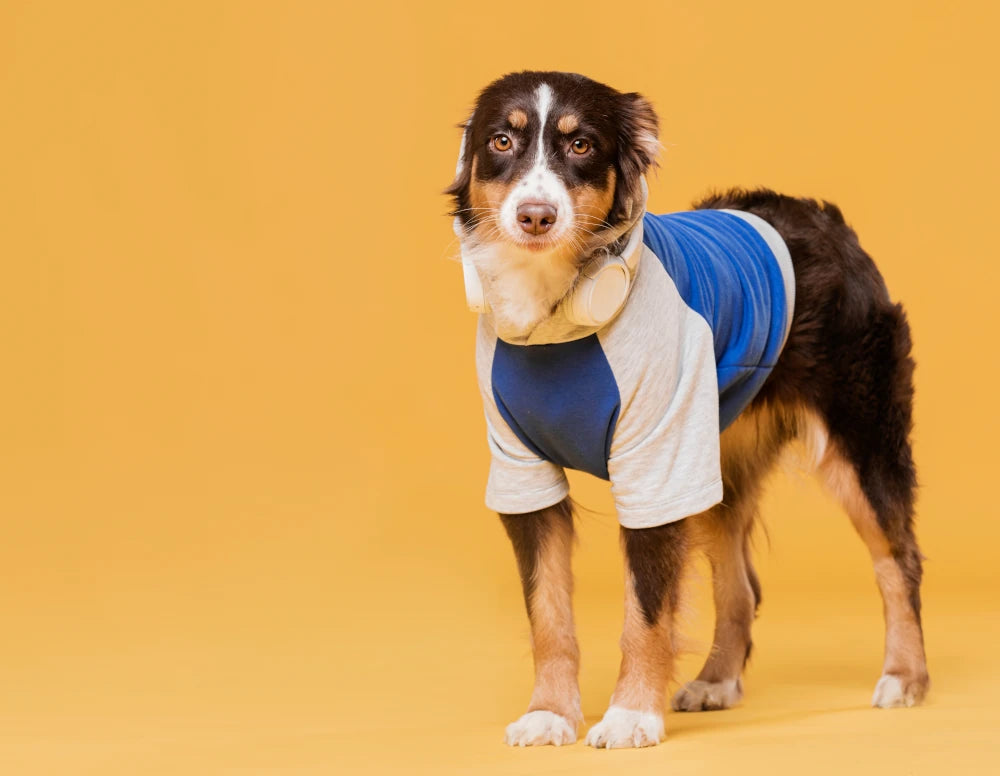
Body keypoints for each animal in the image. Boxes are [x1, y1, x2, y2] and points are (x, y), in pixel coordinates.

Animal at [446, 71, 928, 744]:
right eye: (500, 140)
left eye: (581, 146)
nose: (536, 216)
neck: (556, 321)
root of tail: (823, 217)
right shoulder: (523, 473)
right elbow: (548, 612)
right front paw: (550, 713)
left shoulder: (656, 466)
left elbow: (645, 610)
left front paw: (629, 716)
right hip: (715, 463)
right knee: (741, 586)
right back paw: (718, 681)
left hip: (860, 439)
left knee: (897, 558)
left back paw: (905, 676)